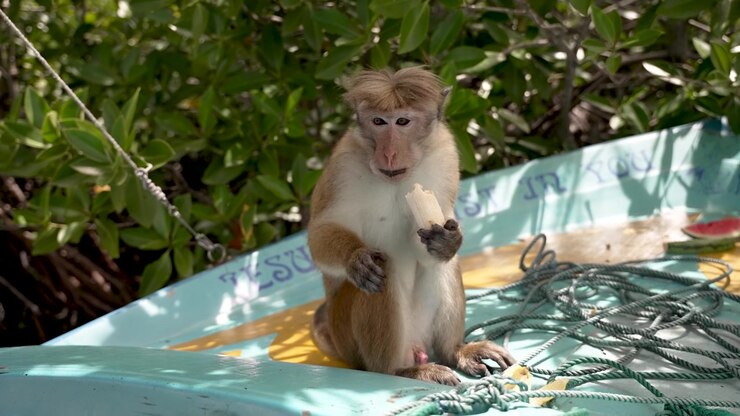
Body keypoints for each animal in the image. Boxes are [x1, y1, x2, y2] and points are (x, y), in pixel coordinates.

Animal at [308, 67, 515, 386]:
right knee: (384, 268)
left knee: (442, 265)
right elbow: (320, 232)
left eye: (402, 121)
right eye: (378, 121)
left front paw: (447, 242)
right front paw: (355, 258)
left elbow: (430, 245)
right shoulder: (342, 167)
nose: (389, 153)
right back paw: (399, 371)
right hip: (347, 335)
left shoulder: (445, 153)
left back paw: (455, 351)